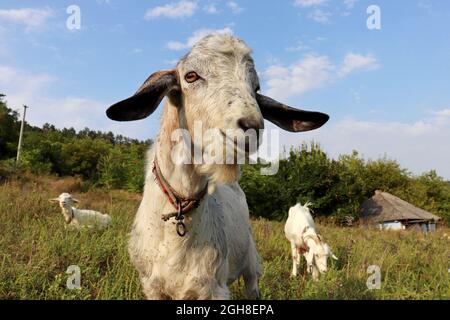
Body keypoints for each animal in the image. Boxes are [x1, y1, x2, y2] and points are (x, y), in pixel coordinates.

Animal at [106, 33, 330, 298]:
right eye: (191, 76)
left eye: (256, 88)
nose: (251, 127)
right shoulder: (151, 286)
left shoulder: (214, 288)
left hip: (251, 265)